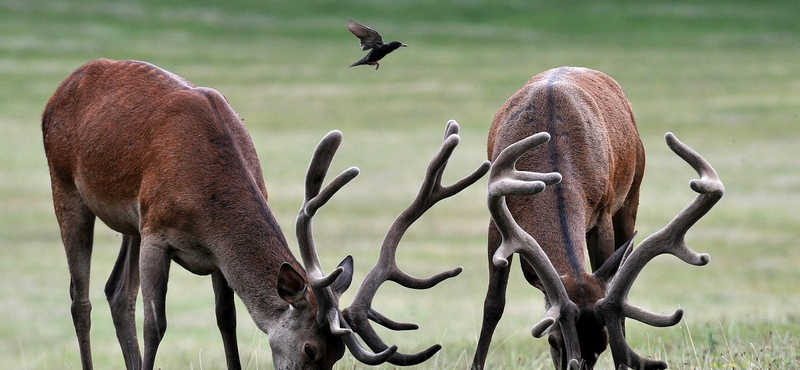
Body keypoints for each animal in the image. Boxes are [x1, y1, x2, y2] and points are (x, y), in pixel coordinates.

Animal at [43, 58, 490, 370]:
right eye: (310, 349)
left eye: (337, 355)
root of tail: (60, 87)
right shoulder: (157, 229)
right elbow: (157, 323)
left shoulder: (212, 254)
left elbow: (227, 320)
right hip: (65, 185)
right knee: (81, 299)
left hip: (128, 224)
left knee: (118, 292)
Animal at [468, 67, 724, 370]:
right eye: (553, 340)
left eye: (601, 346)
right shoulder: (496, 220)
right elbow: (493, 303)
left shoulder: (603, 213)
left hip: (631, 195)